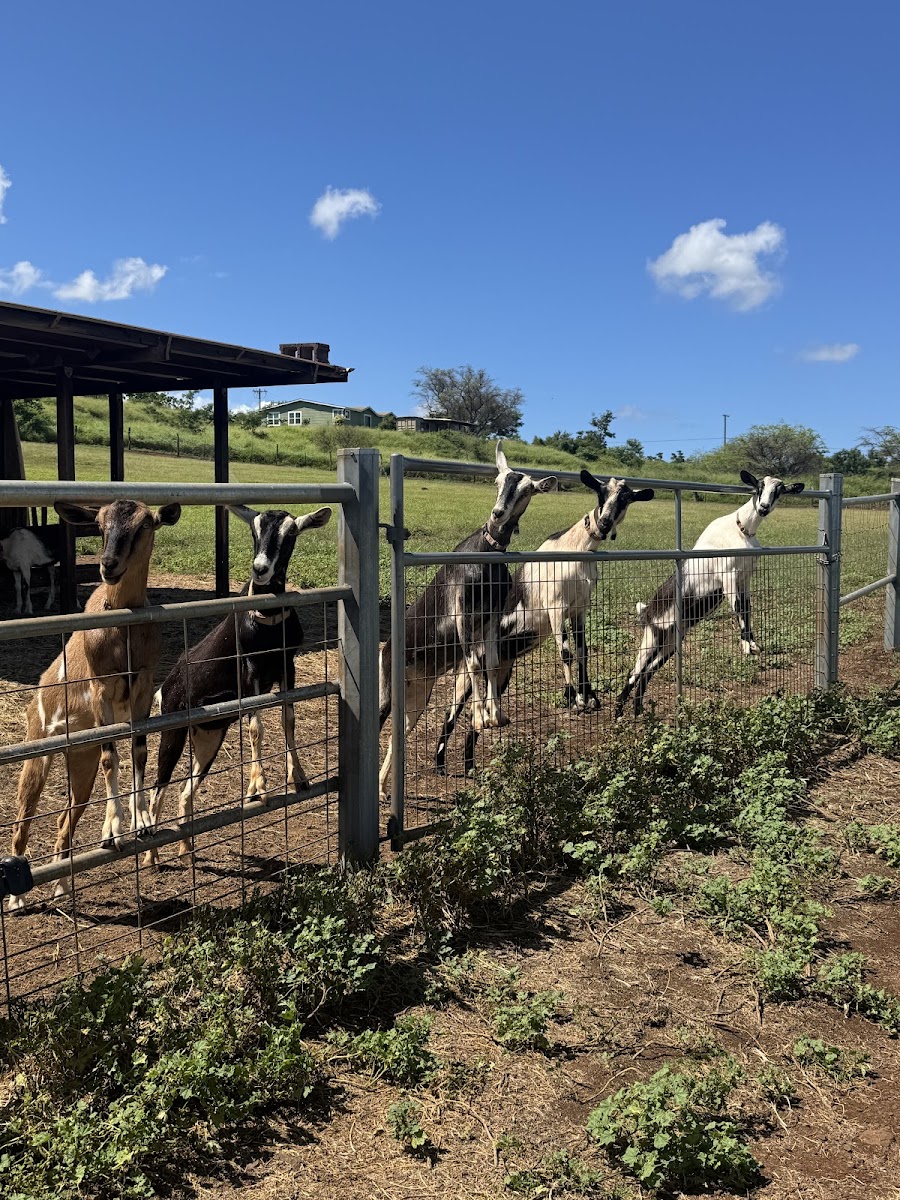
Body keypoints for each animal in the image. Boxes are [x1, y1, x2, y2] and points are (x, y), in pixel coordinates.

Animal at [8, 499, 182, 912]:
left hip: (78, 763)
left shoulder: (142, 687)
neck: (123, 628)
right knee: (23, 816)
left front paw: (141, 822)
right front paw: (116, 830)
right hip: (38, 749)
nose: (108, 565)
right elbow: (110, 757)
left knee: (64, 820)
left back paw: (60, 889)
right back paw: (17, 900)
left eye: (145, 524)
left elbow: (138, 751)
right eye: (100, 525)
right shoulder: (101, 689)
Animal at [147, 504, 332, 861]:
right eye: (253, 530)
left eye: (291, 533)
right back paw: (151, 855)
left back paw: (186, 847)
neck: (266, 620)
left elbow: (288, 719)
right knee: (158, 785)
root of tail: (166, 686)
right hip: (173, 727)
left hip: (209, 736)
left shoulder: (287, 667)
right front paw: (258, 787)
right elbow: (256, 727)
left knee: (185, 788)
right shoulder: (250, 673)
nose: (260, 569)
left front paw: (299, 777)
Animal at [378, 442, 558, 801]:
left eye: (527, 489)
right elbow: (475, 663)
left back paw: (382, 790)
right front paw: (479, 718)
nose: (498, 514)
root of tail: (386, 647)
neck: (483, 555)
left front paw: (496, 715)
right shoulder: (462, 613)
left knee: (398, 735)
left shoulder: (491, 618)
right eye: (498, 481)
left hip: (418, 694)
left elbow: (490, 662)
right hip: (388, 687)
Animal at [434, 471, 654, 775]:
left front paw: (590, 697)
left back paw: (469, 766)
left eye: (627, 499)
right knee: (452, 710)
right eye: (600, 492)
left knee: (476, 716)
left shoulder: (580, 609)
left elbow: (583, 651)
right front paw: (574, 700)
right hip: (468, 669)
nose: (604, 523)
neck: (574, 549)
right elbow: (566, 652)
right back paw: (440, 765)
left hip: (503, 669)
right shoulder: (555, 607)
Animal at [616, 471, 805, 716]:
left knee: (648, 671)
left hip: (672, 642)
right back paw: (619, 711)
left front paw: (753, 643)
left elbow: (747, 609)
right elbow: (738, 608)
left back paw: (637, 709)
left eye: (779, 490)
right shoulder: (728, 577)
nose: (763, 507)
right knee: (635, 671)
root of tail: (647, 611)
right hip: (654, 635)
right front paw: (747, 646)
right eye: (759, 487)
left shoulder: (745, 579)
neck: (742, 530)